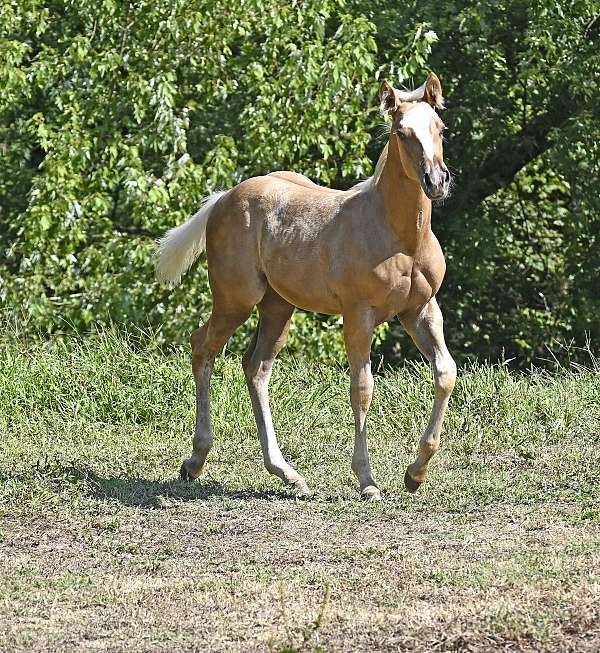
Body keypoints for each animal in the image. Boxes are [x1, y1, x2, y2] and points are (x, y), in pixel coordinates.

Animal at [157, 72, 458, 500]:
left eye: (441, 128)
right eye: (401, 132)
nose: (436, 181)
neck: (399, 236)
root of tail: (224, 198)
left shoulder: (421, 309)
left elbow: (445, 373)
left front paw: (415, 474)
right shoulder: (359, 315)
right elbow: (362, 388)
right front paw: (367, 482)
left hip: (278, 307)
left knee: (256, 367)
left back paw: (289, 475)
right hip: (236, 299)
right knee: (203, 348)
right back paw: (195, 461)